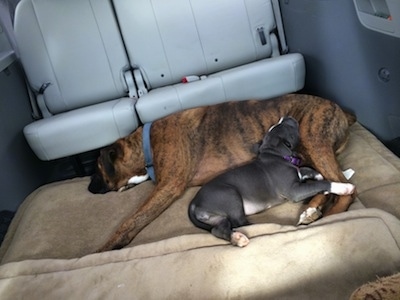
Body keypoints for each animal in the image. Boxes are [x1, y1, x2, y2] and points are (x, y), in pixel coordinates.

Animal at [189, 116, 354, 246]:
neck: (276, 155)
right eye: (286, 127)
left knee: (219, 229)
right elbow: (321, 183)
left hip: (216, 217)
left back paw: (237, 238)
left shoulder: (298, 175)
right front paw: (343, 187)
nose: (286, 116)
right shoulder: (294, 191)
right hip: (230, 195)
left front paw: (318, 176)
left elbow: (307, 170)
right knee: (239, 222)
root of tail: (194, 202)